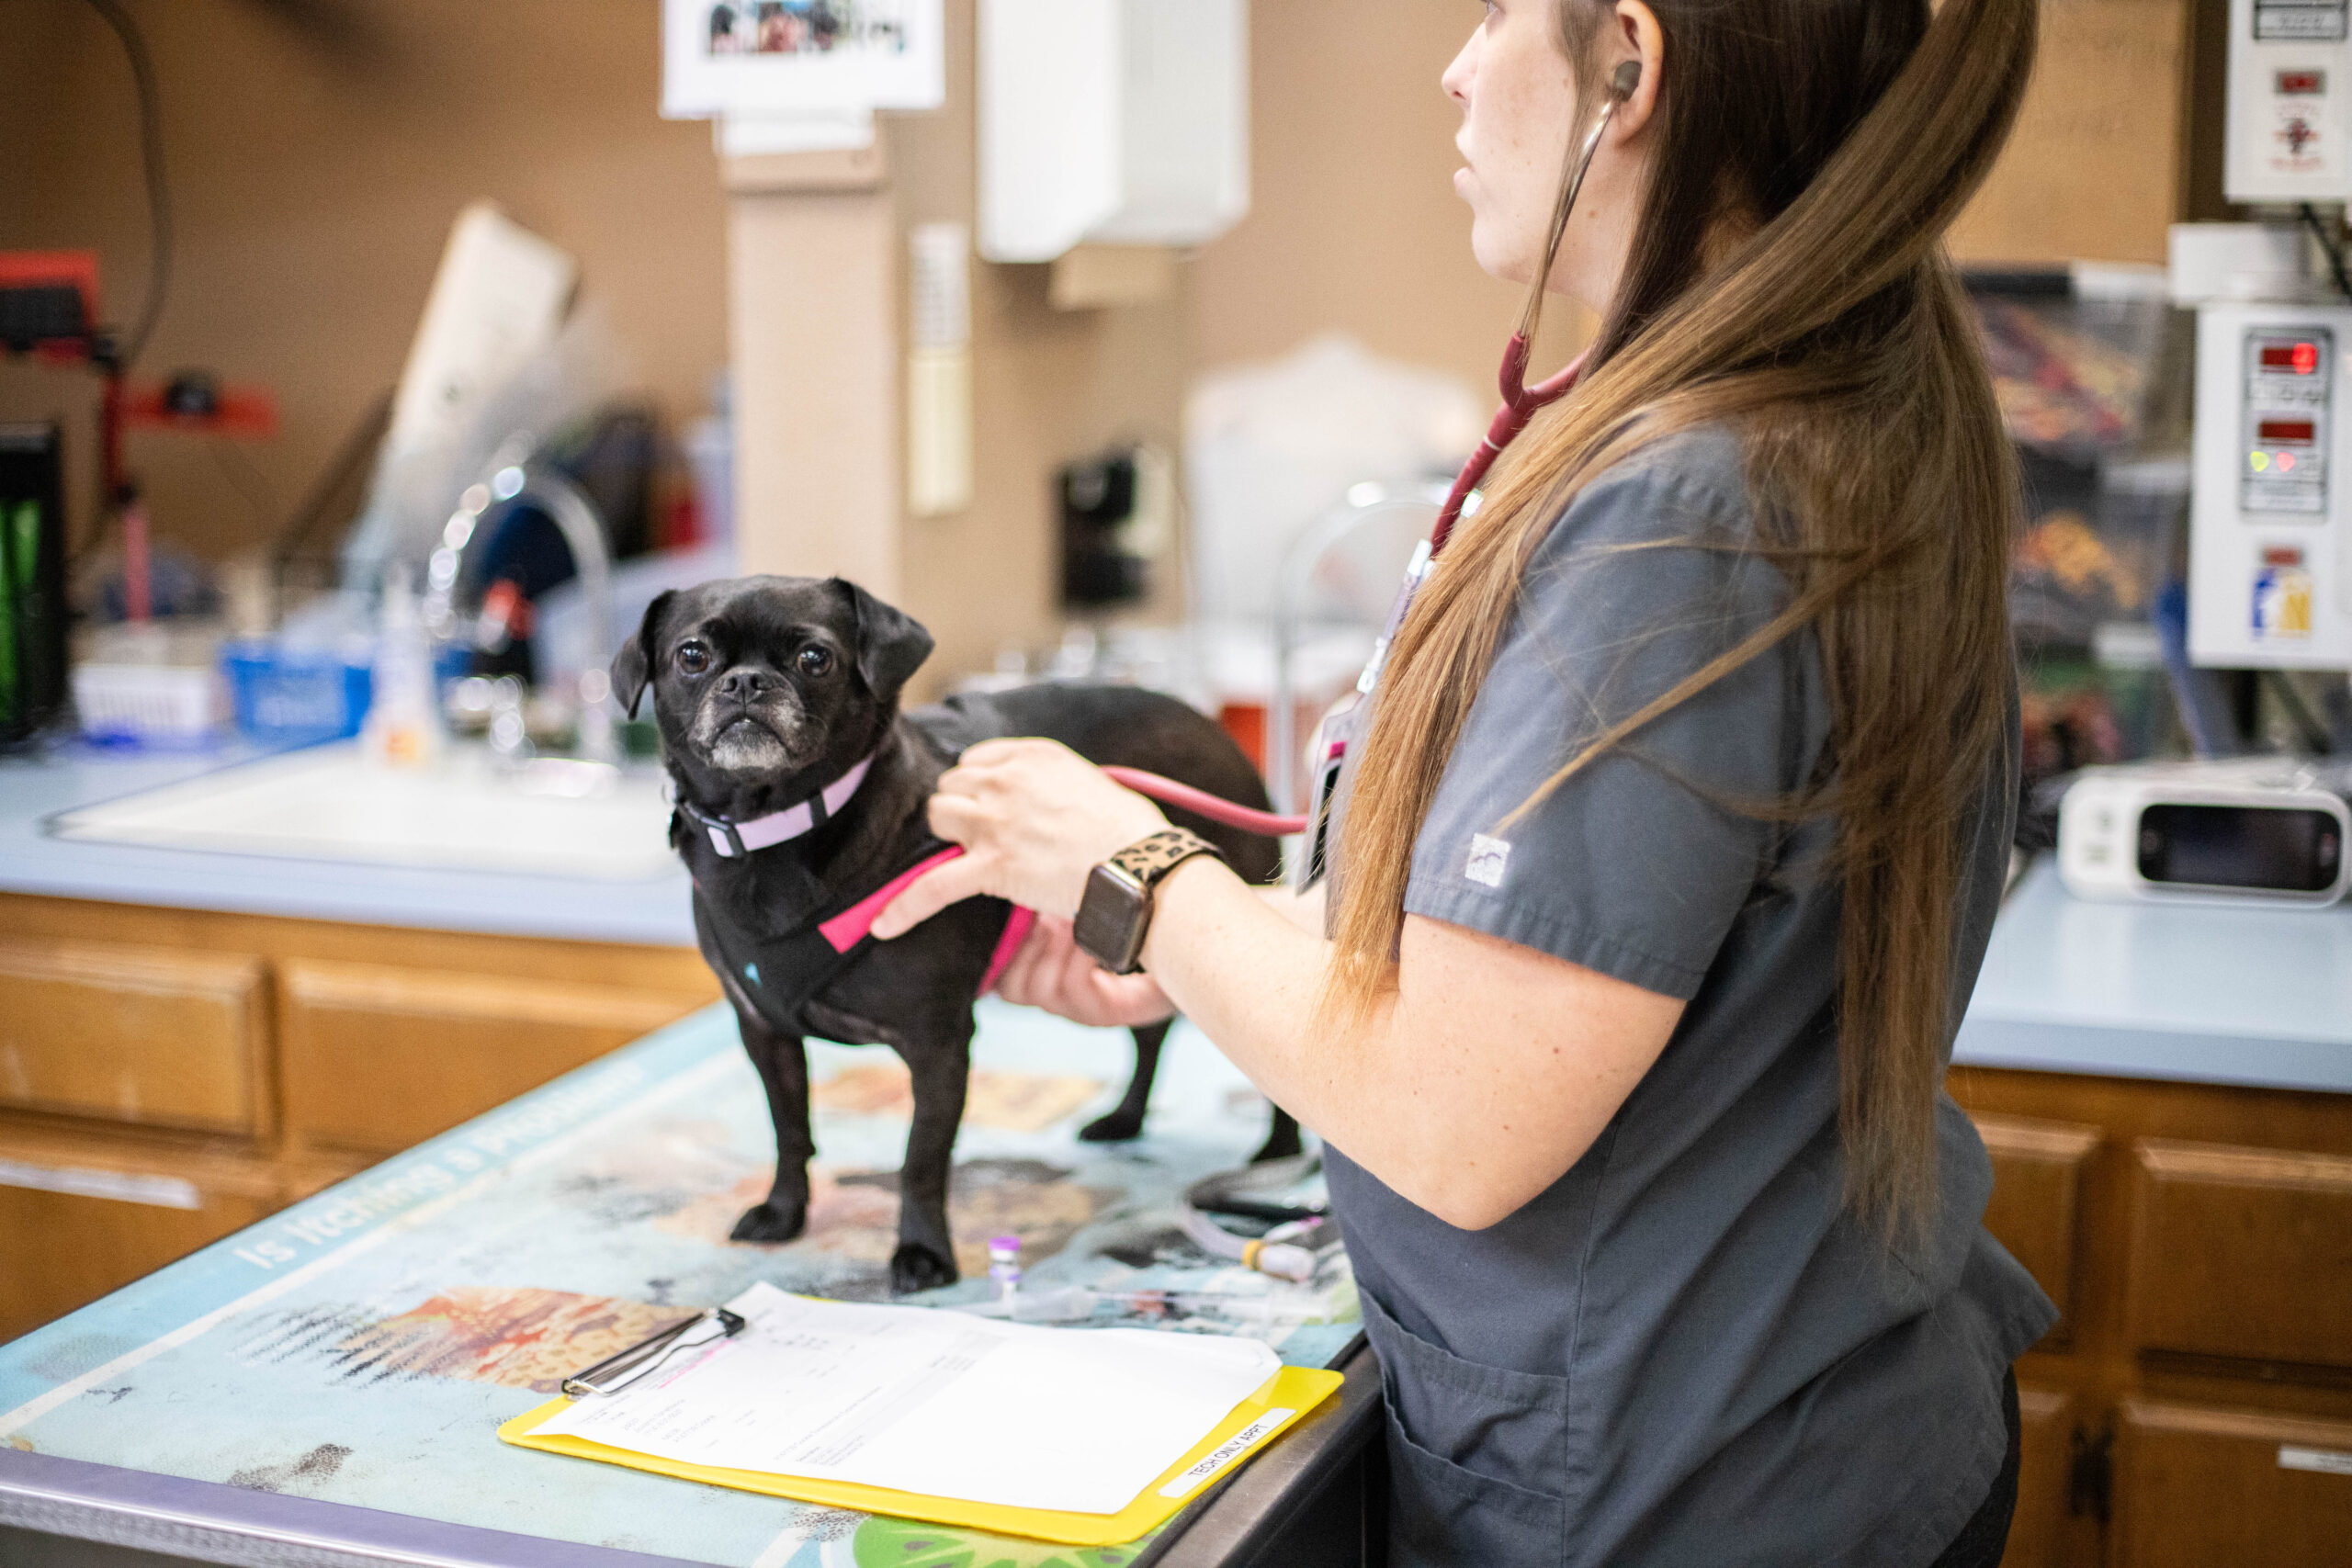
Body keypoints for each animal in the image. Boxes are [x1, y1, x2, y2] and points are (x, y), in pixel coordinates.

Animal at [606, 582, 1307, 1297]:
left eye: (814, 658)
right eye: (692, 655)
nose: (746, 681)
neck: (772, 835)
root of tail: (1210, 726)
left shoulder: (937, 1044)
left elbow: (921, 1157)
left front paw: (922, 1252)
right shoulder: (765, 1031)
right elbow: (790, 1129)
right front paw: (784, 1211)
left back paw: (1277, 1153)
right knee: (1149, 1034)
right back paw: (1125, 1118)